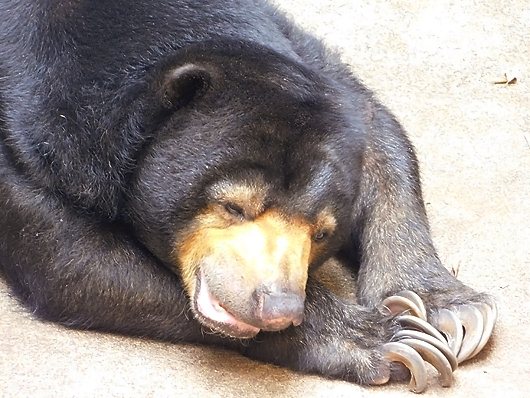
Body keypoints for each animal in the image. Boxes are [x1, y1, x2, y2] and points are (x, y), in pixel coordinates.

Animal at [1, 0, 496, 392]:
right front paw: (389, 339)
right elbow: (71, 259)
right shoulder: (32, 137)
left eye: (322, 232)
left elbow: (379, 131)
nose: (279, 308)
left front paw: (450, 312)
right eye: (233, 205)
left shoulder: (305, 56)